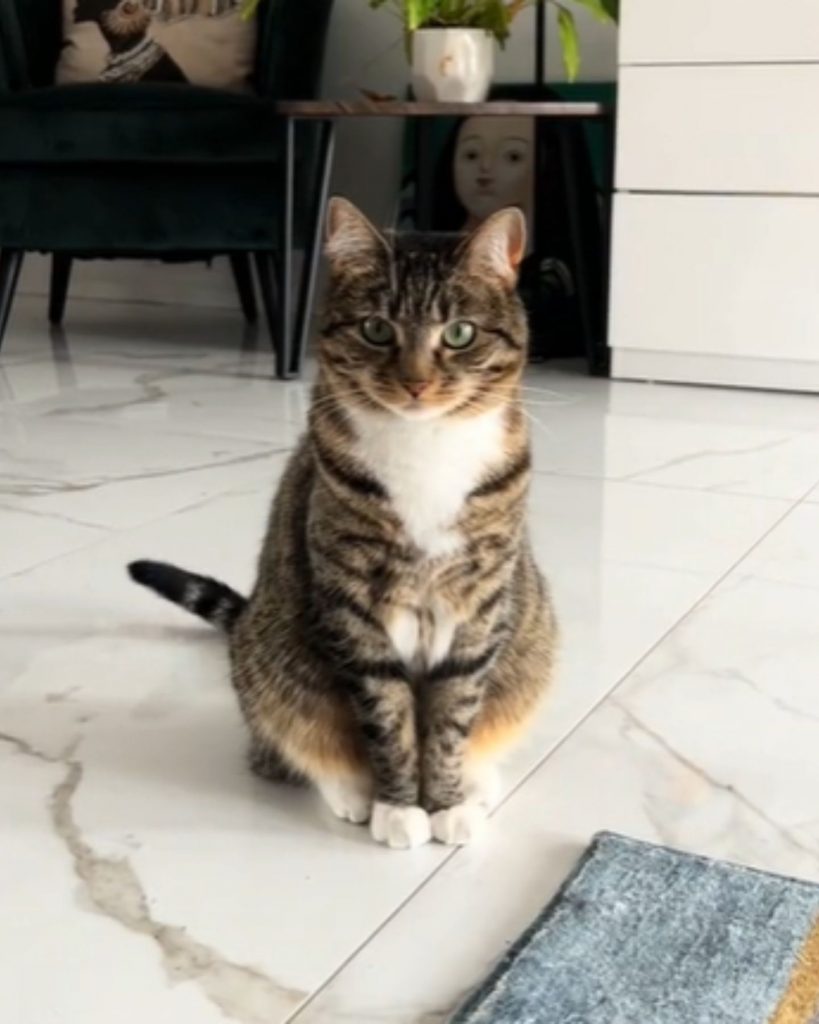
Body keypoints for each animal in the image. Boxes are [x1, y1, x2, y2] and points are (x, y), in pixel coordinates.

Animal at [127, 197, 561, 847]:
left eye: (458, 334)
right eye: (376, 329)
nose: (416, 382)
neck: (424, 447)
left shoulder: (478, 605)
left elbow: (453, 712)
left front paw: (446, 801)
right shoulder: (354, 606)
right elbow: (387, 713)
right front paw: (399, 806)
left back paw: (477, 782)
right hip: (272, 664)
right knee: (285, 745)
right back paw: (349, 789)